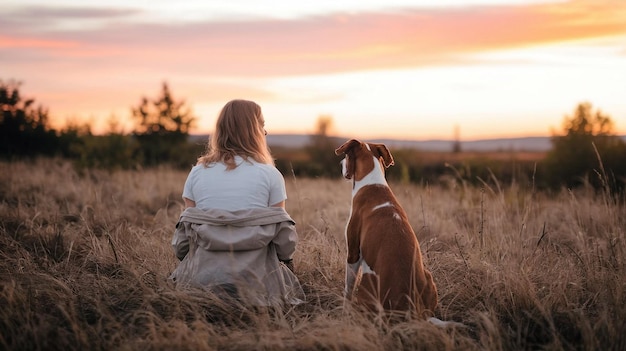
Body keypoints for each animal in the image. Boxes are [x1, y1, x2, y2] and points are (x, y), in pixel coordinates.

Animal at [334, 140, 436, 320]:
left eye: (346, 156)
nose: (340, 164)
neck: (372, 183)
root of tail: (412, 310)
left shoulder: (353, 252)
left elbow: (348, 287)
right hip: (429, 278)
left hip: (367, 284)